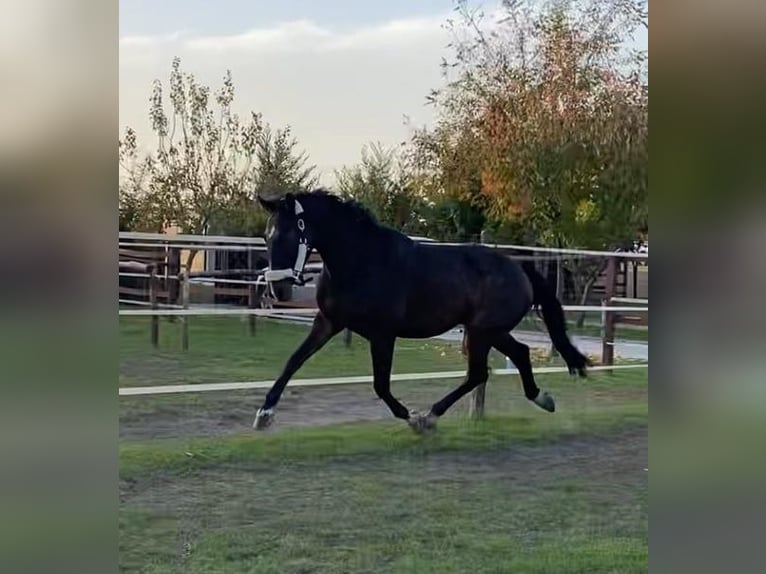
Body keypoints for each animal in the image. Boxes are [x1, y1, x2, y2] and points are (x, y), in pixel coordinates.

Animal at [253, 190, 591, 432]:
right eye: (267, 236)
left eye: (288, 234)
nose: (278, 289)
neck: (361, 261)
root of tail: (518, 267)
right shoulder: (328, 322)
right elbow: (293, 361)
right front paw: (264, 414)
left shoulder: (383, 335)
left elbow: (380, 385)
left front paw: (411, 417)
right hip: (489, 331)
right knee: (518, 354)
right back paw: (542, 399)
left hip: (482, 332)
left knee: (479, 372)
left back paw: (430, 416)